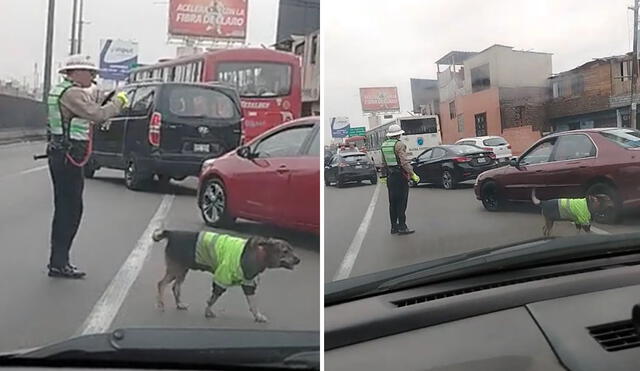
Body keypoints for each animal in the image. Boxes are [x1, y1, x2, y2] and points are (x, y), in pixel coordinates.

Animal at [152, 228, 300, 324]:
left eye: (292, 249)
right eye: (285, 251)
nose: (298, 260)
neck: (258, 254)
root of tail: (171, 233)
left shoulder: (248, 284)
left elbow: (253, 303)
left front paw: (257, 316)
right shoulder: (221, 278)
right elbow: (213, 299)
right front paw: (208, 311)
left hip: (182, 270)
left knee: (175, 287)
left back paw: (179, 304)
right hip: (175, 269)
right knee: (161, 284)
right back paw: (160, 304)